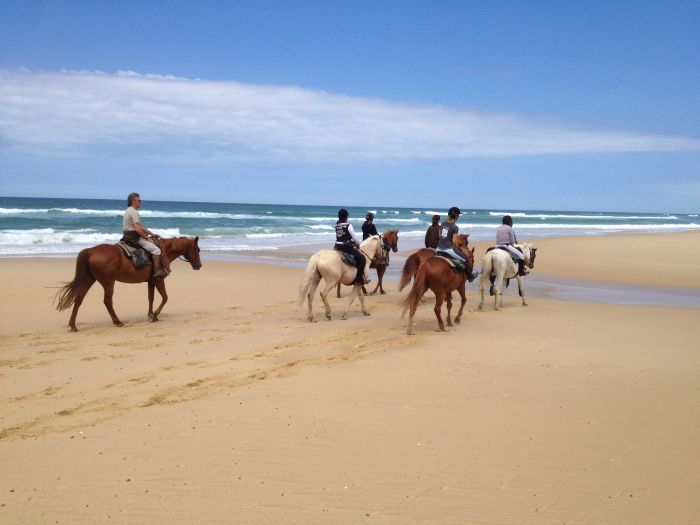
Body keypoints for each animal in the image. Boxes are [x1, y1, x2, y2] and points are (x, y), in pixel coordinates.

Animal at [55, 236, 202, 330]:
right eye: (198, 250)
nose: (199, 265)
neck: (164, 251)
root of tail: (90, 251)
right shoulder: (159, 280)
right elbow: (165, 298)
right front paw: (155, 314)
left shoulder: (151, 281)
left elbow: (151, 298)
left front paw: (151, 316)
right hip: (108, 282)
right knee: (107, 301)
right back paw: (117, 321)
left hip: (89, 280)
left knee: (79, 299)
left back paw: (73, 325)